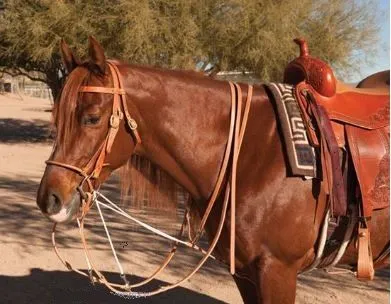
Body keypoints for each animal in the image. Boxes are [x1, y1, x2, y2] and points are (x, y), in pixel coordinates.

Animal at [36, 36, 388, 302]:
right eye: (56, 115)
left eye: (92, 118)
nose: (49, 198)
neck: (252, 153)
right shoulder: (247, 274)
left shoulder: (278, 271)